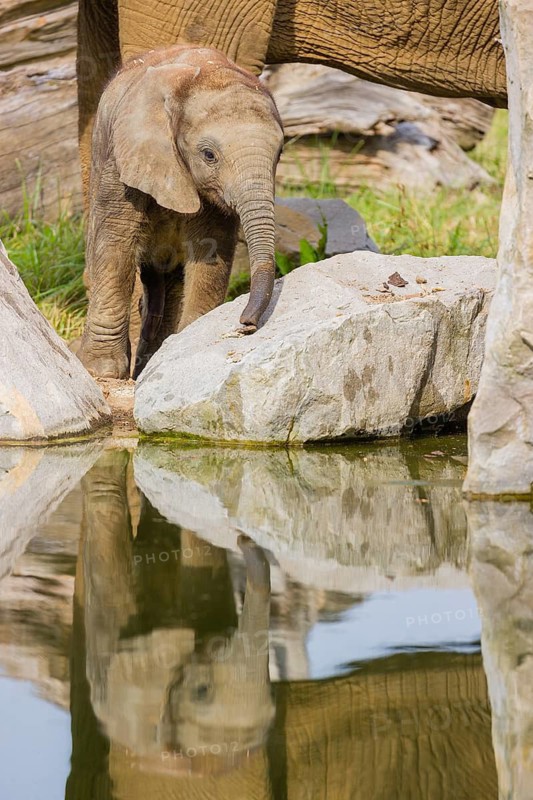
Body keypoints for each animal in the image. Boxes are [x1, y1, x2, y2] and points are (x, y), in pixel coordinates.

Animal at [77, 45, 284, 379]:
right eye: (209, 155)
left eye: (280, 153)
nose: (246, 325)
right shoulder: (124, 161)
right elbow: (115, 246)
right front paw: (102, 371)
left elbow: (210, 250)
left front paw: (189, 342)